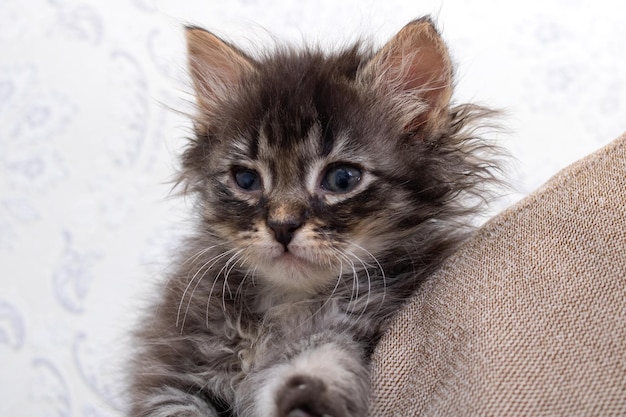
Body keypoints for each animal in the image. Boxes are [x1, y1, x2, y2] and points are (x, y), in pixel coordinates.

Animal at [129, 16, 500, 416]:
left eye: (342, 179)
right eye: (246, 180)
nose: (282, 226)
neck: (286, 306)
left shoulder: (349, 327)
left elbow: (319, 365)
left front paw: (306, 398)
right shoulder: (175, 371)